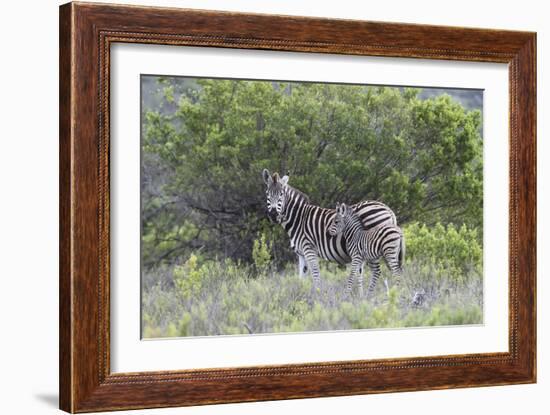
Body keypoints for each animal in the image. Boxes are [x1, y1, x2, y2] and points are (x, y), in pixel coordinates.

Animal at [264, 170, 398, 290]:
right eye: (267, 194)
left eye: (281, 194)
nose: (274, 215)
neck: (299, 218)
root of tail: (388, 210)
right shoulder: (301, 254)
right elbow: (301, 278)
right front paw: (301, 295)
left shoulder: (309, 249)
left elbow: (316, 276)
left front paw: (318, 296)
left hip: (373, 248)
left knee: (377, 271)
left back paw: (369, 295)